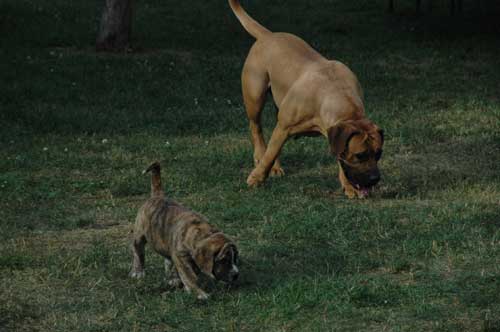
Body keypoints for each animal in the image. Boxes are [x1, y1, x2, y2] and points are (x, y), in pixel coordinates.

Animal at [129, 162, 238, 300]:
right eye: (224, 260)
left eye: (235, 258)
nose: (236, 275)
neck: (203, 234)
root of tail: (157, 195)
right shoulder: (181, 257)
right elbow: (189, 276)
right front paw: (200, 293)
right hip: (139, 234)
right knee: (138, 251)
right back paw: (138, 271)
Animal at [229, 0, 384, 197]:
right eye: (360, 155)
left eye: (378, 153)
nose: (375, 179)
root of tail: (268, 35)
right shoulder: (284, 127)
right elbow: (270, 153)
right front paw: (256, 178)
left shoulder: (334, 136)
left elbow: (340, 160)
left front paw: (348, 186)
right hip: (255, 97)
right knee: (257, 130)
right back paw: (260, 157)